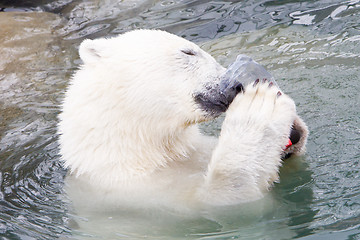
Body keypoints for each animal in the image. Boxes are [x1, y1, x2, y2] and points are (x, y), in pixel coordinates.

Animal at [57, 29, 308, 209]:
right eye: (188, 52)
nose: (233, 83)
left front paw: (293, 132)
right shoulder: (146, 194)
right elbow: (224, 196)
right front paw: (260, 106)